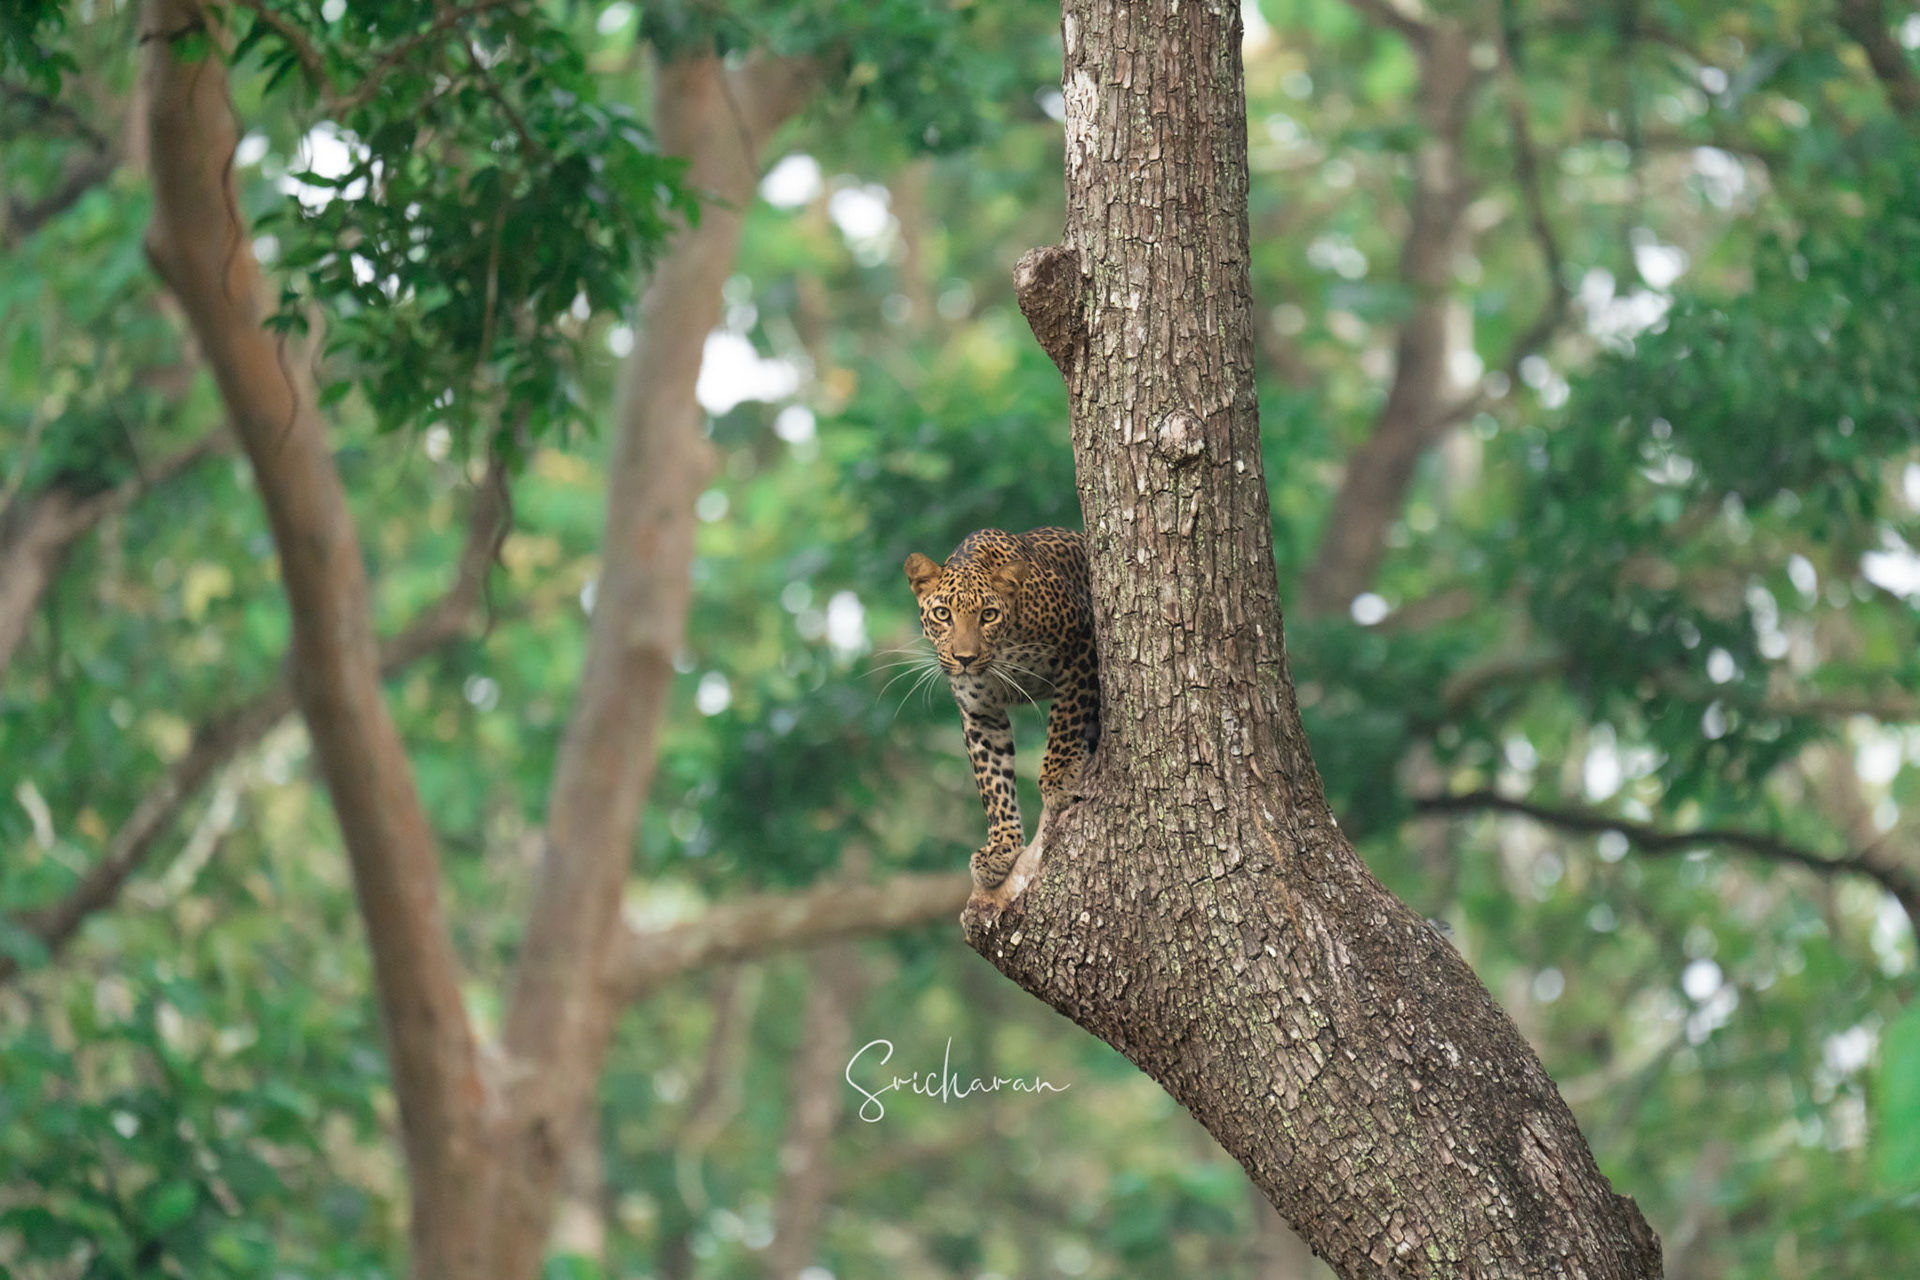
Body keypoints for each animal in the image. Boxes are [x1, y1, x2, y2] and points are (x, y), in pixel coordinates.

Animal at [903, 527, 1099, 891]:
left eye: (988, 615)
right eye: (942, 614)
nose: (965, 658)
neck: (1004, 649)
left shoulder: (1081, 641)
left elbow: (1065, 717)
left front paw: (1059, 777)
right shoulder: (981, 714)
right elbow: (993, 782)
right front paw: (1000, 848)